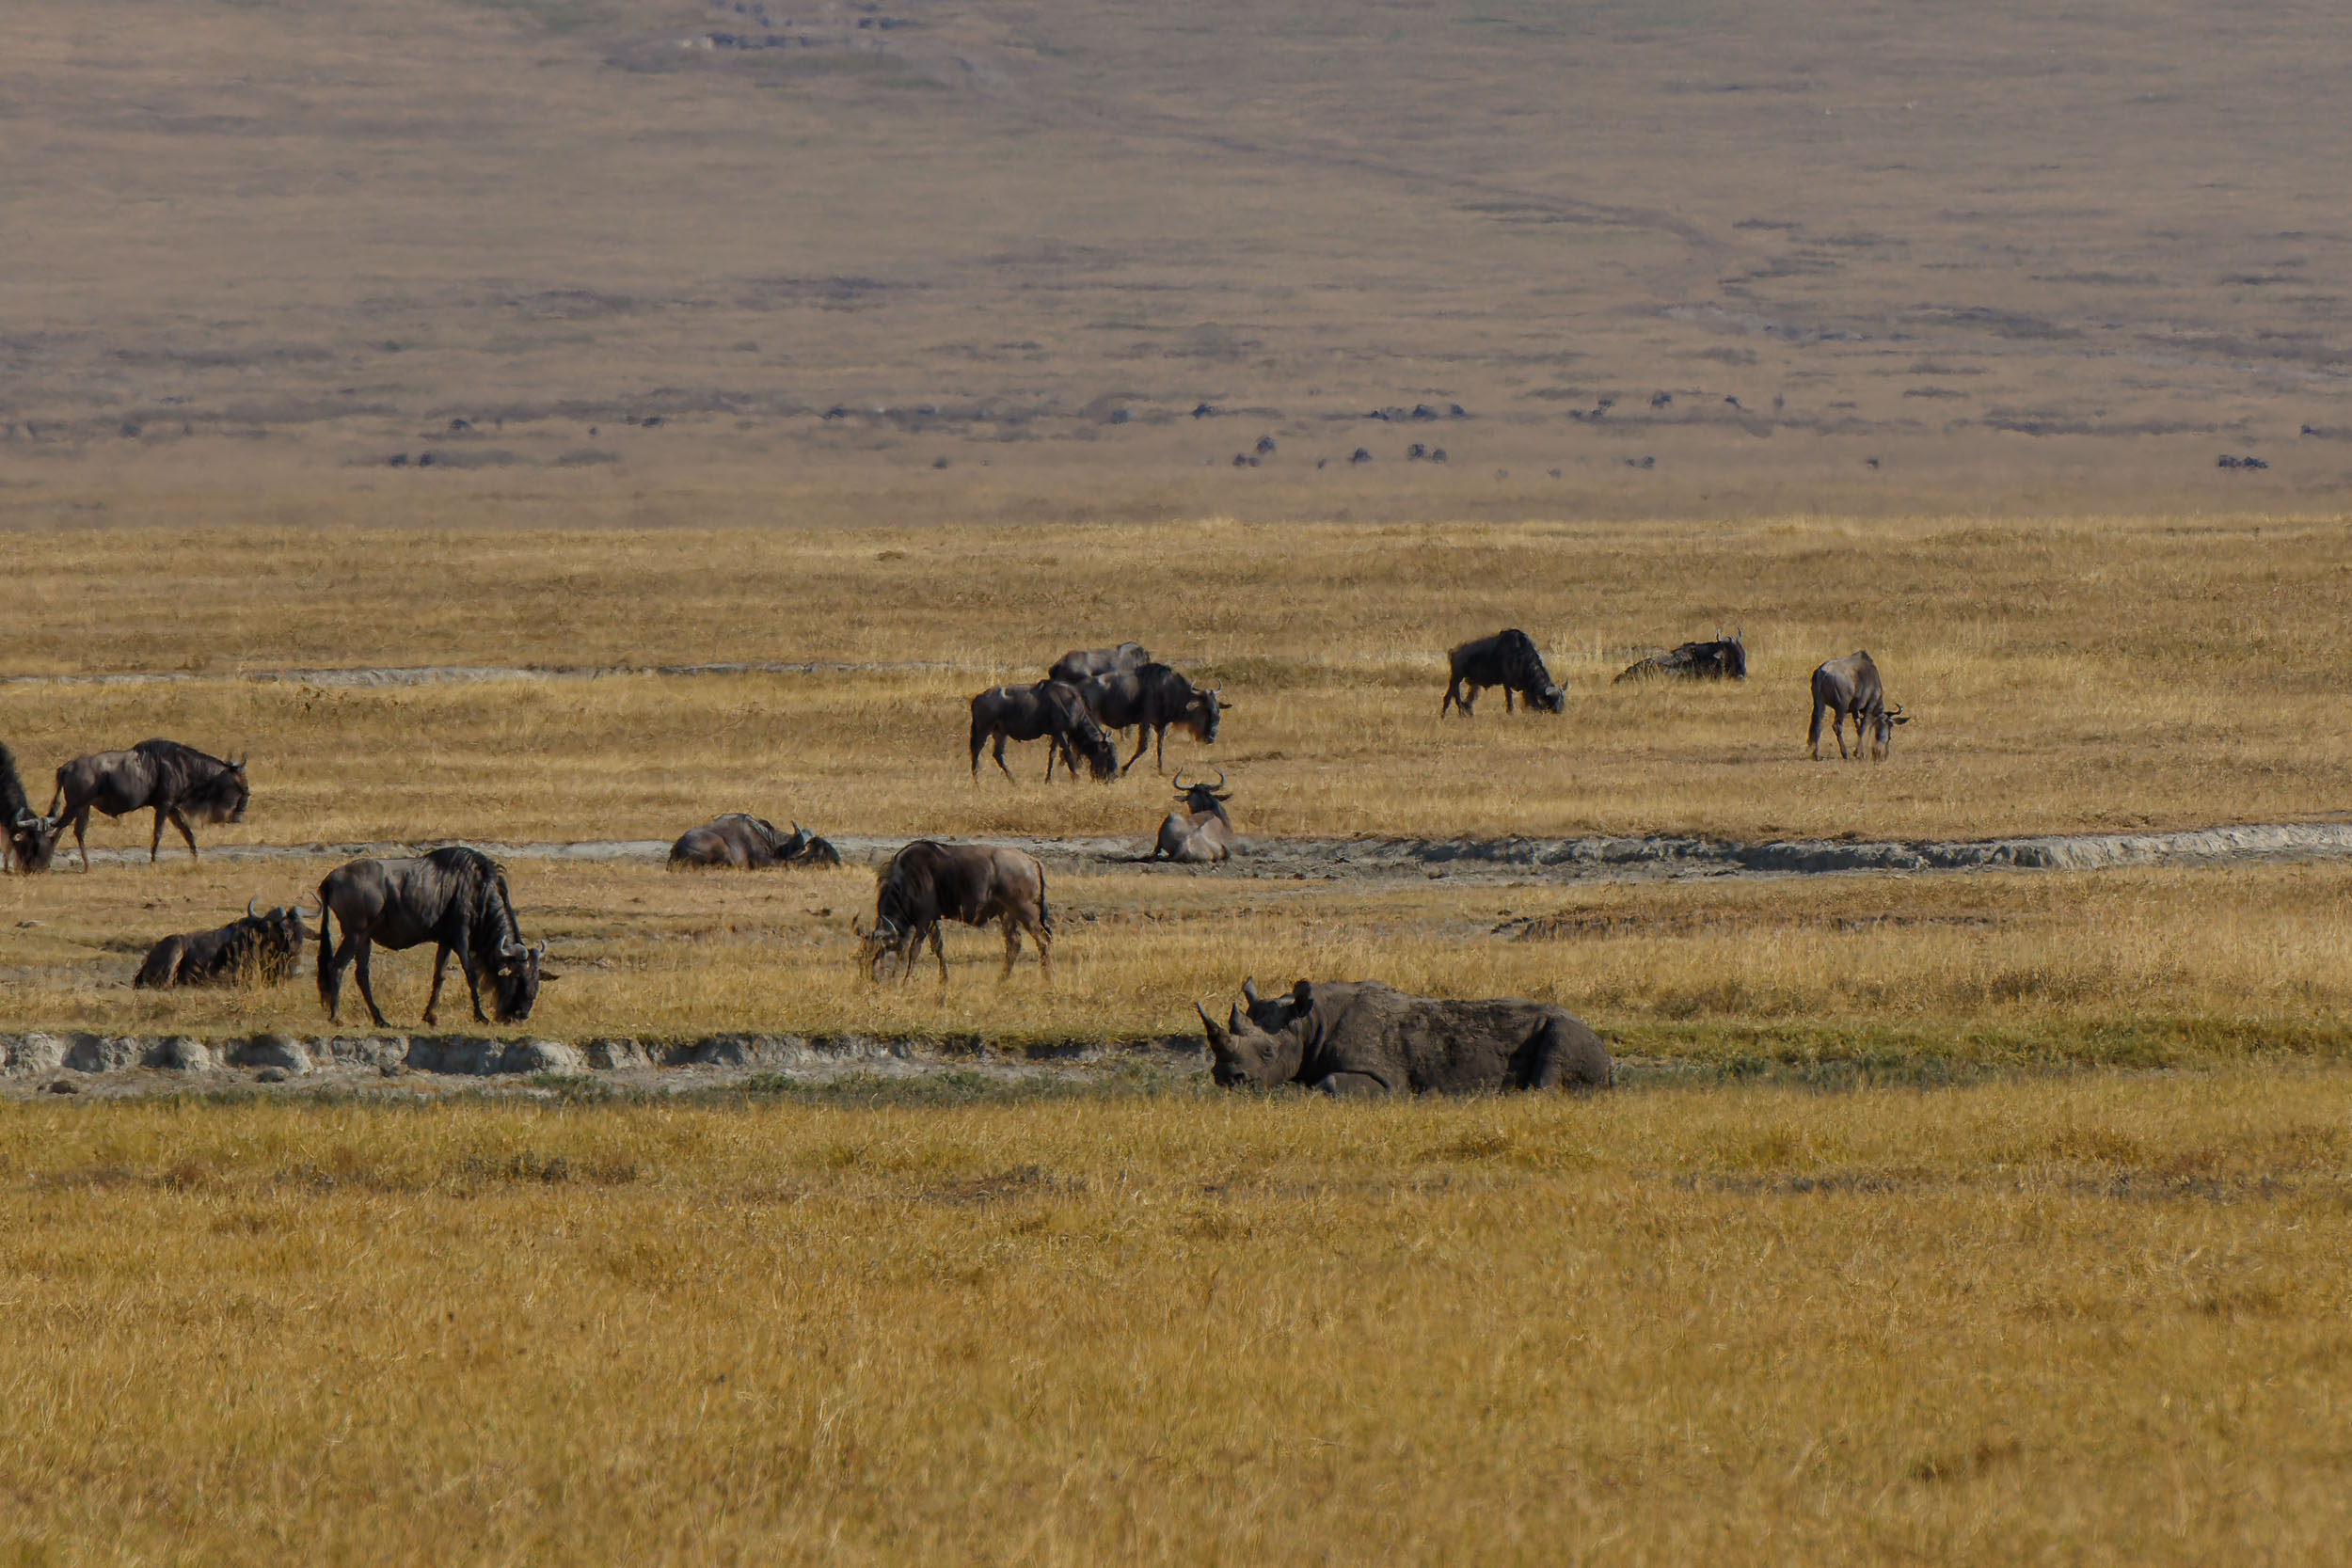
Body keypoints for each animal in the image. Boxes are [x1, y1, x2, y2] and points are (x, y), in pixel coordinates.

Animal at [1195, 978, 1612, 1096]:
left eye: (1268, 1051)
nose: (1227, 1079)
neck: (1309, 1021)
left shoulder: (1383, 1074)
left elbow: (1330, 1082)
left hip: (1571, 1029)